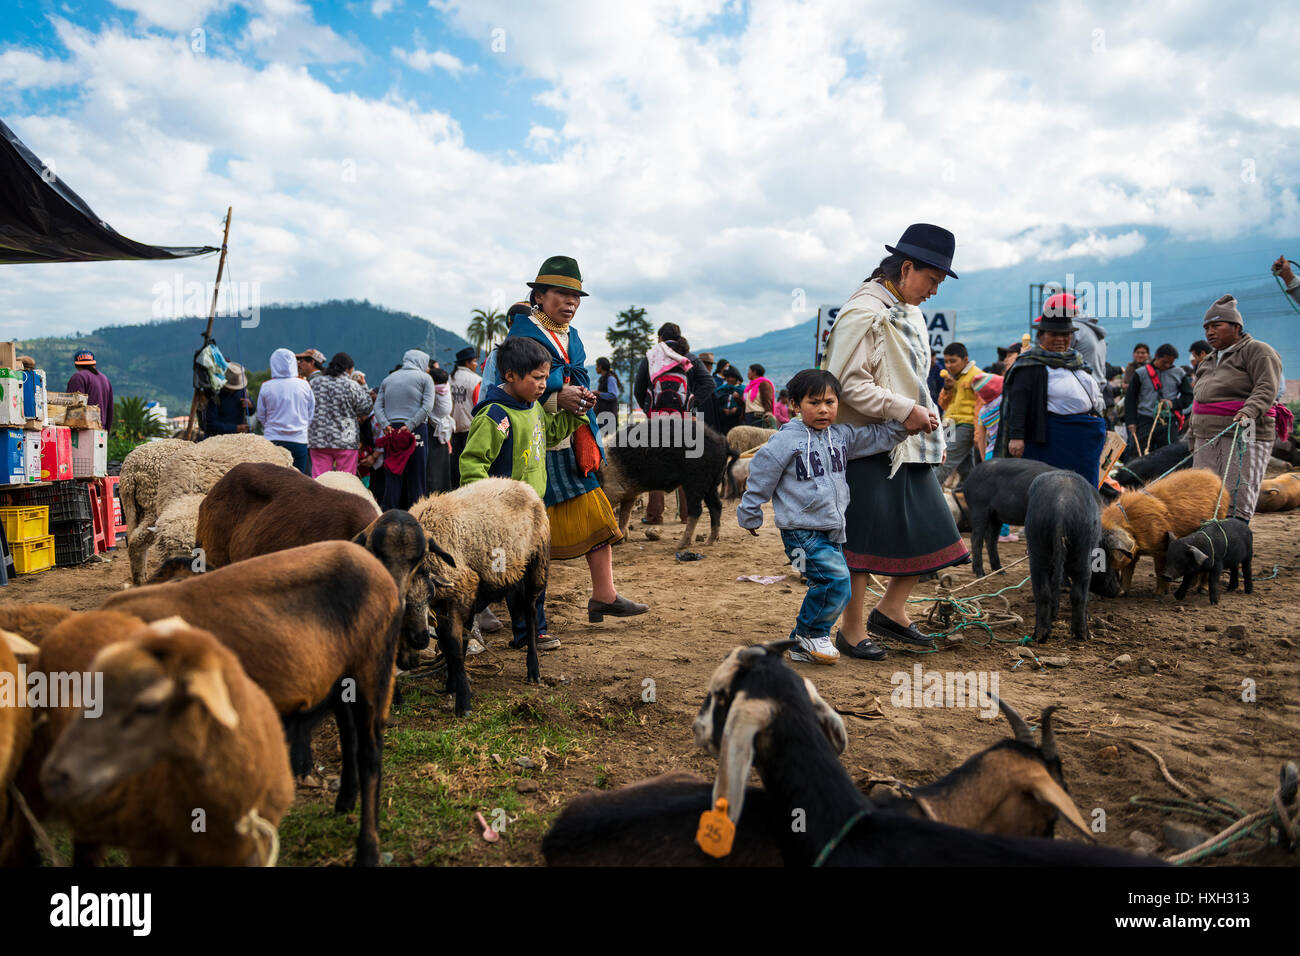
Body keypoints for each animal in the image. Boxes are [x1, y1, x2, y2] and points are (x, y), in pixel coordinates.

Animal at [100, 538, 403, 868]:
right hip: (342, 677)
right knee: (349, 733)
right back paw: (344, 800)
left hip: (373, 666)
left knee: (370, 753)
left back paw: (368, 849)